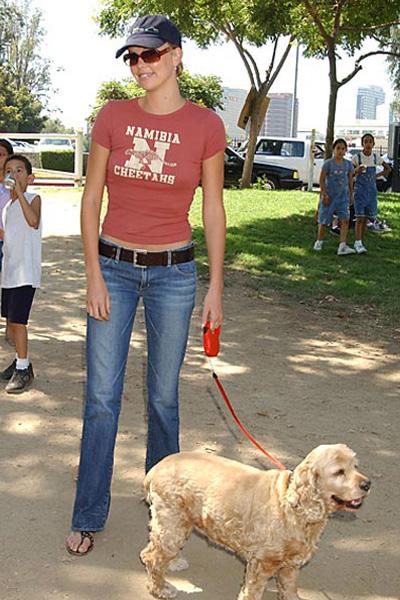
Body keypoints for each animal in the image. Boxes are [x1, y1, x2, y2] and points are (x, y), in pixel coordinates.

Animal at [141, 442, 372, 596]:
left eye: (355, 466)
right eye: (339, 472)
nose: (367, 484)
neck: (293, 506)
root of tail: (156, 467)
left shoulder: (290, 568)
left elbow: (290, 591)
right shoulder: (262, 564)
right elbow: (252, 592)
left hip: (180, 522)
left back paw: (173, 563)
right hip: (172, 521)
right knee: (151, 556)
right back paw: (160, 589)